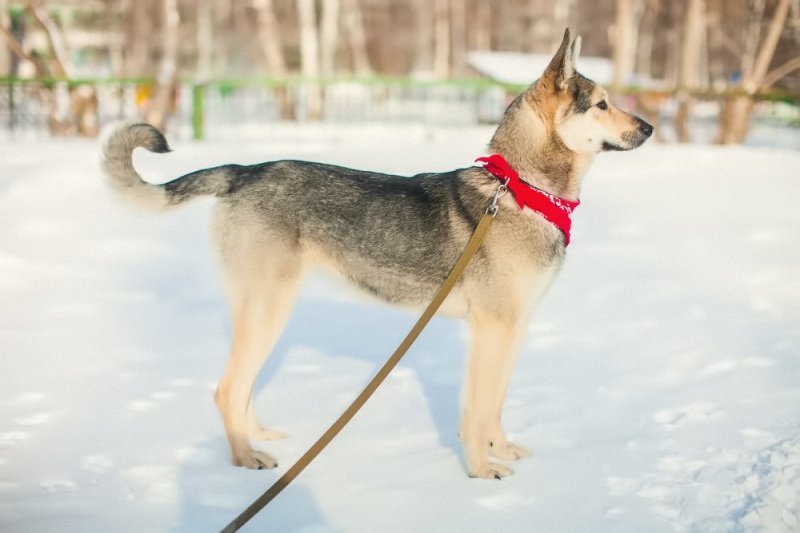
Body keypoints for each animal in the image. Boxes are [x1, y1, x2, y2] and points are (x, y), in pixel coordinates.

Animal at [103, 29, 652, 478]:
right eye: (602, 104)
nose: (648, 128)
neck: (522, 189)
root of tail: (243, 171)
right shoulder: (492, 329)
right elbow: (476, 410)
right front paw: (480, 471)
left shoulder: (514, 327)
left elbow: (494, 403)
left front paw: (501, 448)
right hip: (268, 308)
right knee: (226, 389)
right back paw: (244, 459)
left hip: (263, 310)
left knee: (241, 388)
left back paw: (257, 436)